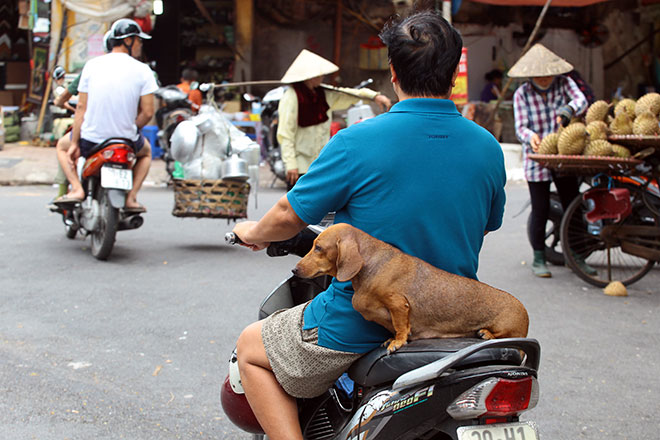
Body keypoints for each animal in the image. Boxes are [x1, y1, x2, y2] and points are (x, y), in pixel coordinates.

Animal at [294, 225, 532, 352]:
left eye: (318, 248)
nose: (295, 270)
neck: (372, 265)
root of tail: (525, 315)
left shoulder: (398, 304)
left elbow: (401, 326)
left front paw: (398, 341)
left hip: (507, 328)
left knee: (501, 335)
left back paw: (486, 333)